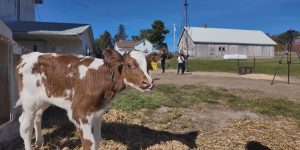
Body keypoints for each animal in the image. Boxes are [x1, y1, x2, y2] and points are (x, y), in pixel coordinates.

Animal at [15, 48, 154, 149]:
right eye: (130, 65)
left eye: (148, 66)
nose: (148, 83)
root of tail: (25, 57)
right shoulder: (79, 113)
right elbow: (89, 143)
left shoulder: (98, 111)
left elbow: (97, 139)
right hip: (29, 100)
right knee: (25, 125)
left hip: (44, 98)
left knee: (37, 117)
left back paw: (39, 142)